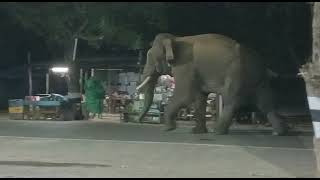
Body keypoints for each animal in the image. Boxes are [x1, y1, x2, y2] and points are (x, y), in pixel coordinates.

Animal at [136, 33, 288, 136]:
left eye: (150, 57)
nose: (138, 120)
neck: (176, 38)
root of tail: (262, 64)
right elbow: (199, 98)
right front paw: (196, 132)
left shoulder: (185, 67)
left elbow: (185, 95)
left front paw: (168, 129)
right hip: (258, 80)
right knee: (265, 103)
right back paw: (278, 132)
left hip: (236, 73)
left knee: (231, 100)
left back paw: (217, 131)